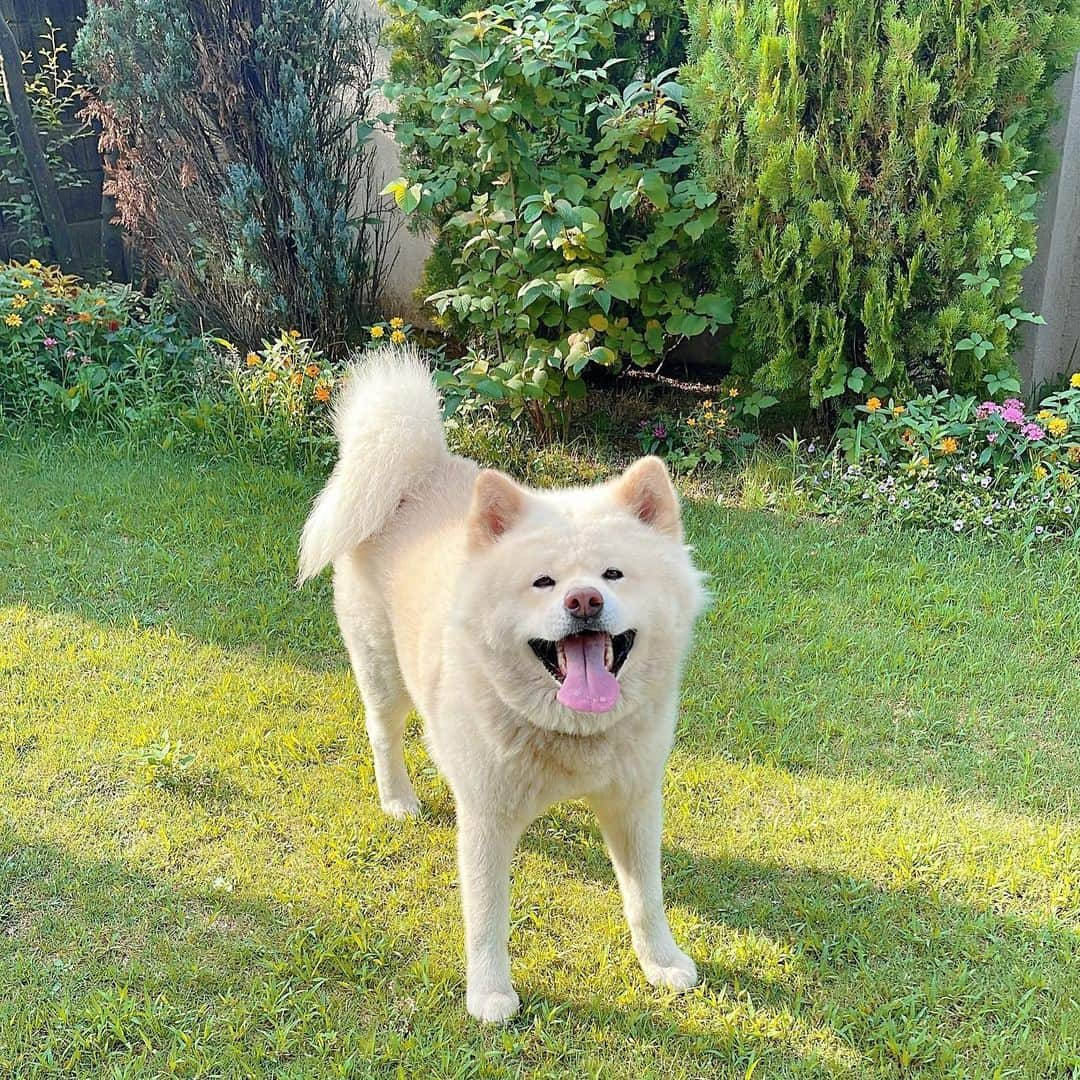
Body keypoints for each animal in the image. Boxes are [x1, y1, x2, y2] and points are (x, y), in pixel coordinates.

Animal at [300, 345, 708, 1019]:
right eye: (543, 582)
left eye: (614, 574)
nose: (584, 599)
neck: (572, 737)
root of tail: (417, 472)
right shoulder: (486, 821)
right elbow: (485, 916)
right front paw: (489, 992)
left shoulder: (633, 804)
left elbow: (645, 898)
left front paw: (662, 962)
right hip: (383, 673)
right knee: (384, 733)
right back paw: (398, 798)